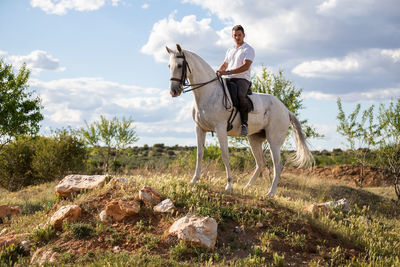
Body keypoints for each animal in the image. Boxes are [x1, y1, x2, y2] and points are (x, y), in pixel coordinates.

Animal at [166, 44, 312, 197]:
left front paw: (229, 185)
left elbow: (225, 155)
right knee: (260, 163)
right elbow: (200, 154)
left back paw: (270, 193)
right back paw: (247, 187)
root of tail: (286, 110)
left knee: (277, 165)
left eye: (180, 65)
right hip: (254, 139)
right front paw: (194, 181)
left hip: (274, 141)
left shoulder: (220, 129)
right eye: (169, 65)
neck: (208, 93)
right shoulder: (200, 129)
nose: (173, 91)